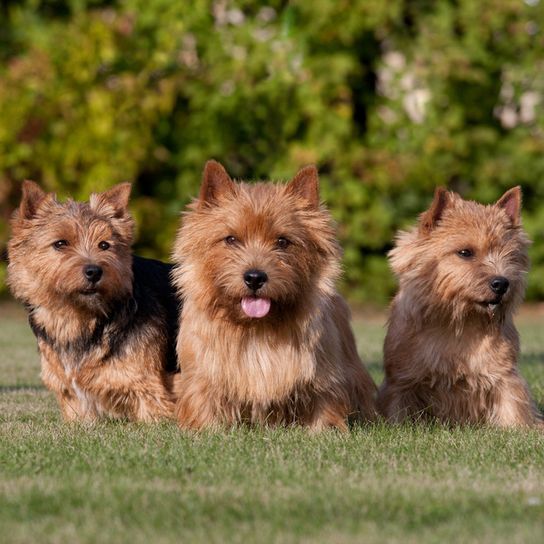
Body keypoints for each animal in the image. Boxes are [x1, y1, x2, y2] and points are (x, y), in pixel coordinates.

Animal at [6, 182, 181, 420]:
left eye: (104, 245)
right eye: (60, 243)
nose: (94, 271)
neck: (79, 319)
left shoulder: (151, 389)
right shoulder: (73, 396)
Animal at [378, 189, 544, 428]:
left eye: (510, 255)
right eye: (465, 252)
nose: (502, 283)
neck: (458, 323)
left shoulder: (504, 375)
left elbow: (512, 406)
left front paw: (521, 429)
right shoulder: (401, 382)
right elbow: (397, 411)